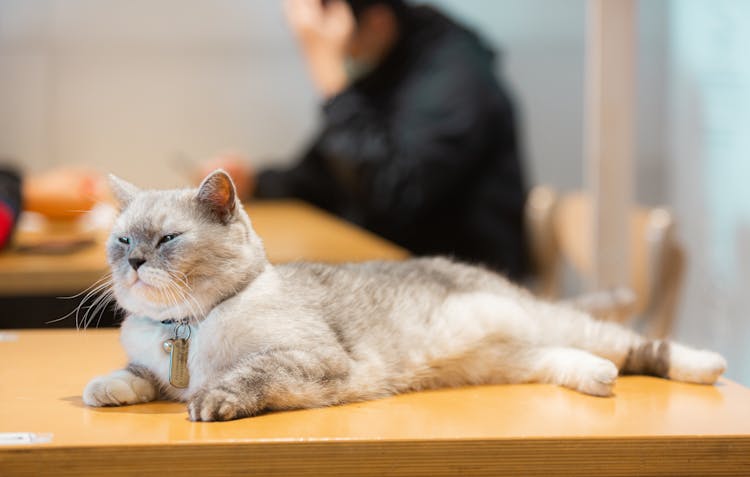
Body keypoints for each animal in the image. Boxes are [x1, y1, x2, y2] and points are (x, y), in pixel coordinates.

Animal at [82, 170, 728, 420]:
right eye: (122, 239)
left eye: (167, 239)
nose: (134, 261)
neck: (187, 328)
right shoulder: (153, 365)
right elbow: (137, 376)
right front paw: (104, 388)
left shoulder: (308, 360)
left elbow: (244, 378)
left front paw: (212, 399)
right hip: (516, 359)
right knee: (566, 360)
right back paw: (596, 377)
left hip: (571, 328)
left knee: (641, 346)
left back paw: (705, 365)